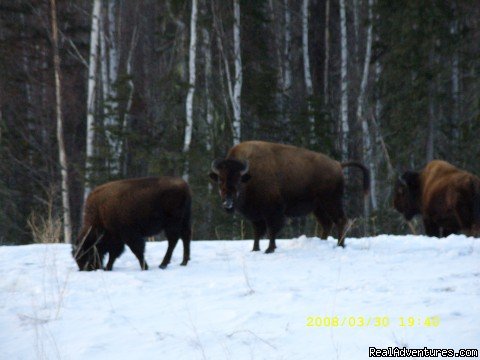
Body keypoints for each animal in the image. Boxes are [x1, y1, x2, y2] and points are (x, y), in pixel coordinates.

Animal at [208, 141, 370, 250]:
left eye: (238, 179)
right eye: (220, 179)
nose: (228, 203)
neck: (250, 176)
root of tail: (338, 165)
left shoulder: (273, 212)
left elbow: (271, 231)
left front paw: (269, 249)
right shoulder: (256, 216)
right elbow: (257, 233)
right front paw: (255, 249)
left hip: (331, 202)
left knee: (341, 221)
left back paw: (340, 245)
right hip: (318, 208)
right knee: (327, 224)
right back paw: (323, 242)